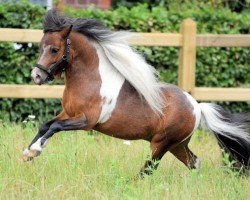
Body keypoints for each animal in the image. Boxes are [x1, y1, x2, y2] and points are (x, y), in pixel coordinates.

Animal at [22, 9, 249, 175]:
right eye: (41, 47)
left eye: (54, 50)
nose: (36, 76)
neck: (91, 80)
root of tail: (197, 107)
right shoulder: (68, 113)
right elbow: (45, 125)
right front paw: (27, 153)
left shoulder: (86, 121)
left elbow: (55, 127)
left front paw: (35, 150)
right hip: (178, 145)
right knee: (194, 163)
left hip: (162, 144)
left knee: (149, 169)